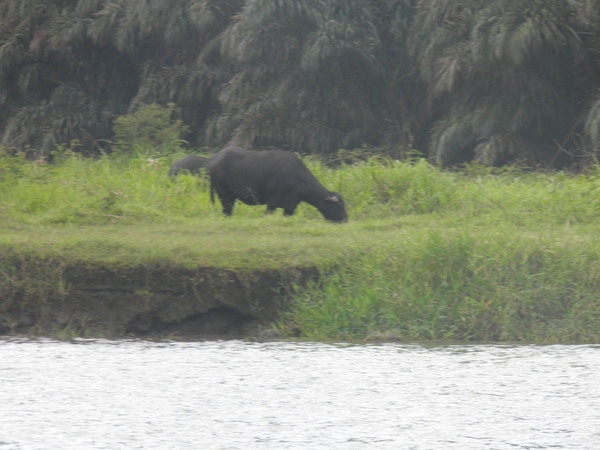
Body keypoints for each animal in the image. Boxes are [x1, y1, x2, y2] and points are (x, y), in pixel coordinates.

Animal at [207, 147, 346, 222]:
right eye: (338, 206)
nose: (345, 220)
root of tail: (214, 159)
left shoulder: (290, 206)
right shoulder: (272, 201)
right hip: (224, 195)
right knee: (227, 211)